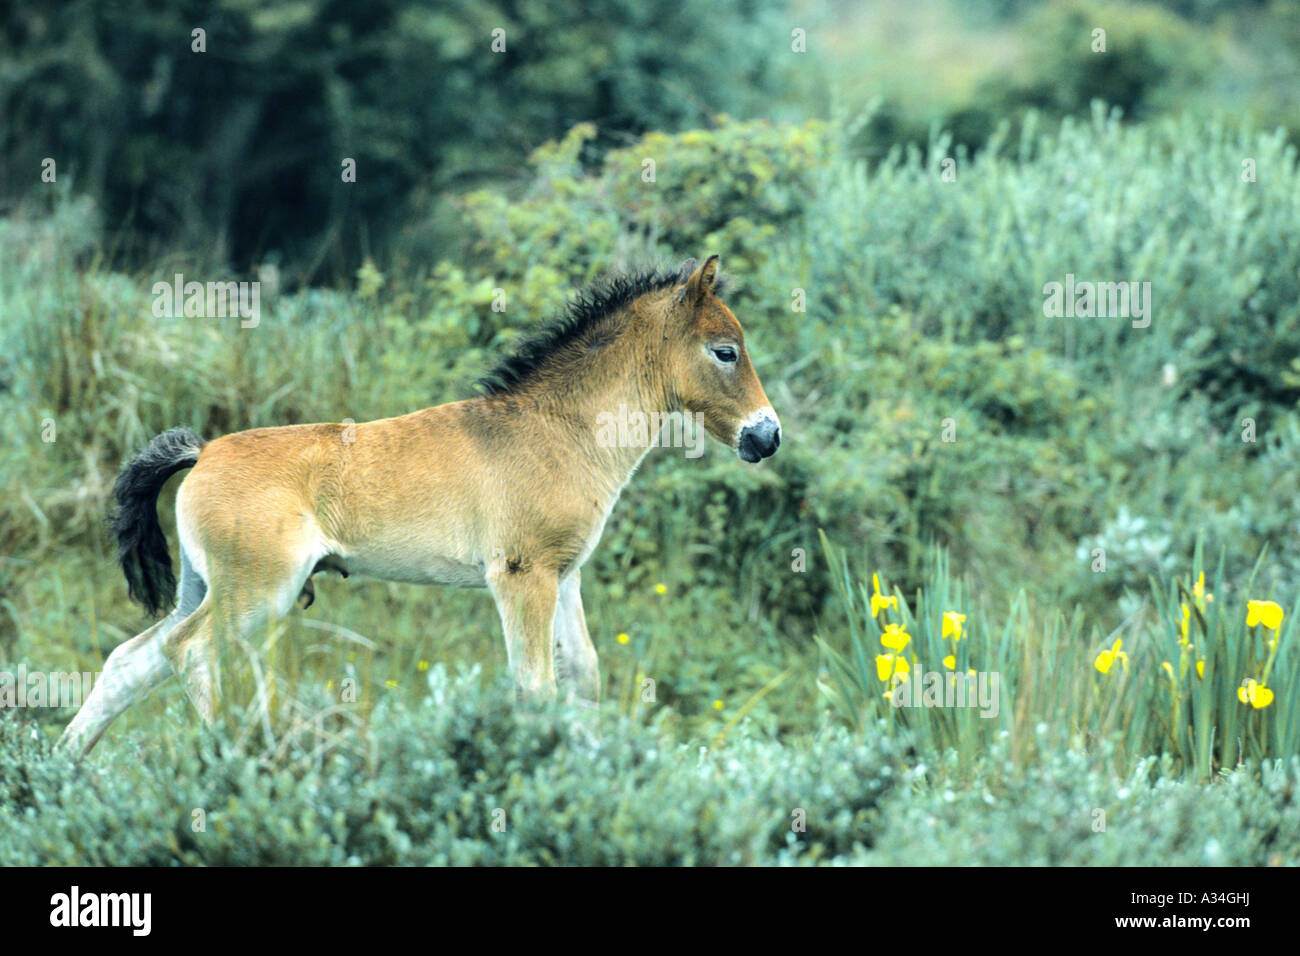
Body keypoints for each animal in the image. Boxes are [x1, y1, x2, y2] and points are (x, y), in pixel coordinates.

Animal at [61, 254, 780, 754]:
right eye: (725, 351)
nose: (766, 436)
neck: (559, 428)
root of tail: (203, 453)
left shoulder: (565, 576)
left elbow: (583, 678)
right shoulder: (522, 577)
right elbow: (535, 685)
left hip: (200, 585)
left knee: (133, 661)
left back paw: (65, 766)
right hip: (256, 591)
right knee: (189, 652)